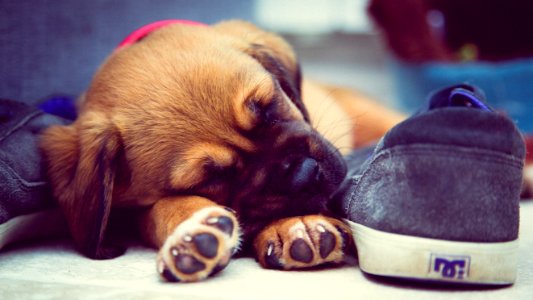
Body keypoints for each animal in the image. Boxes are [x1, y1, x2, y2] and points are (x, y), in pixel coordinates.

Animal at [39, 19, 402, 282]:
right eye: (212, 177)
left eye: (269, 107)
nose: (304, 174)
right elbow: (163, 209)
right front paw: (193, 234)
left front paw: (297, 223)